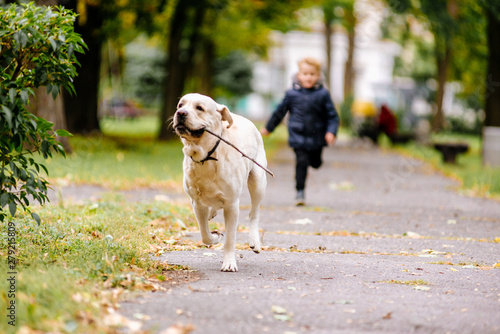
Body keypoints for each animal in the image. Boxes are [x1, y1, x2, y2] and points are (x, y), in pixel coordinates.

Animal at [173, 92, 268, 270]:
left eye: (199, 108)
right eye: (180, 105)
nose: (180, 113)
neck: (205, 156)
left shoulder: (232, 205)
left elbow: (230, 238)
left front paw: (229, 262)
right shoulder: (197, 203)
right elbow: (204, 233)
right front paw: (215, 236)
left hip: (258, 181)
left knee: (254, 213)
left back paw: (254, 241)